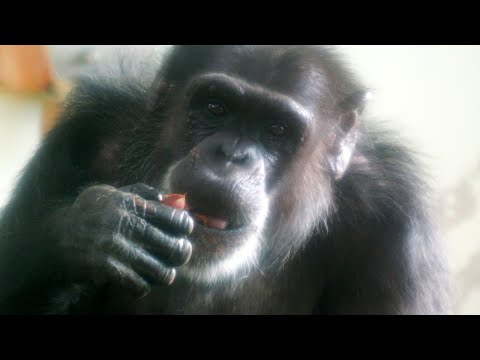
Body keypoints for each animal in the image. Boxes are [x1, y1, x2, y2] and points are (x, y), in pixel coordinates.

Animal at [0, 45, 450, 316]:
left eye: (276, 130)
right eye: (215, 107)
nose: (232, 156)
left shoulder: (396, 230)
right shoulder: (84, 134)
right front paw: (99, 226)